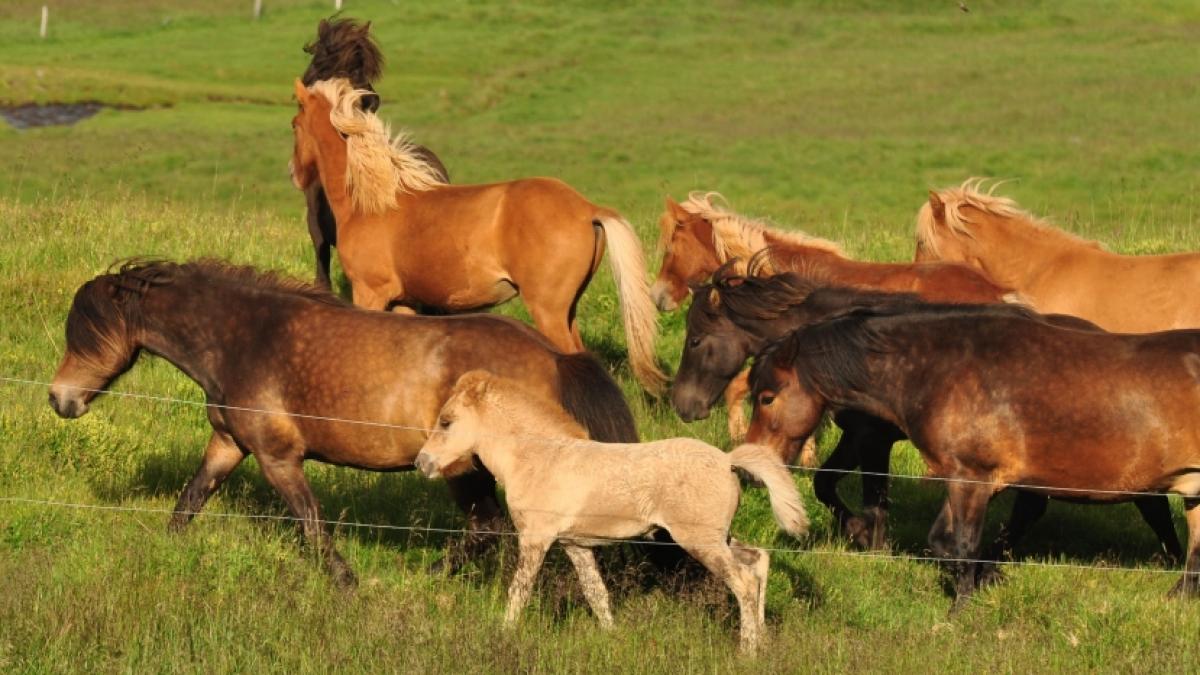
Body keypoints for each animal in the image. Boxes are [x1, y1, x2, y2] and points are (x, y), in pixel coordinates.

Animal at [47, 260, 639, 587]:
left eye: (85, 333)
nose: (59, 398)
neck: (246, 338)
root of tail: (555, 356)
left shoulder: (278, 457)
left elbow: (311, 523)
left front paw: (348, 583)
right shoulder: (229, 444)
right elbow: (189, 501)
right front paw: (164, 551)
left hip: (464, 469)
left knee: (488, 529)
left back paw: (426, 578)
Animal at [290, 78, 666, 393]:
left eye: (294, 124)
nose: (294, 173)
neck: (375, 201)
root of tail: (587, 208)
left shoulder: (369, 294)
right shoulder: (404, 303)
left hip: (548, 311)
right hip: (568, 308)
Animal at [414, 370, 807, 653]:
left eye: (446, 421)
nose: (422, 463)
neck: (538, 458)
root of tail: (727, 461)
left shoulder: (535, 539)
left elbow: (519, 590)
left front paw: (504, 633)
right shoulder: (575, 545)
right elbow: (597, 594)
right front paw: (612, 639)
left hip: (699, 540)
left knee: (743, 581)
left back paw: (747, 650)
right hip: (716, 536)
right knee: (758, 562)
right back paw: (763, 641)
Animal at [681, 262, 1182, 559]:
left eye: (695, 338)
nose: (683, 405)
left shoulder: (871, 437)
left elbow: (863, 492)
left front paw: (868, 538)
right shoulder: (858, 436)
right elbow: (831, 484)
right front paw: (864, 535)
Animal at [745, 303, 1200, 609]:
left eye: (767, 397)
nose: (751, 472)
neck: (944, 371)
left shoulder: (972, 478)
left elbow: (960, 544)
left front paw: (961, 607)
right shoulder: (963, 479)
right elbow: (942, 542)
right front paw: (986, 579)